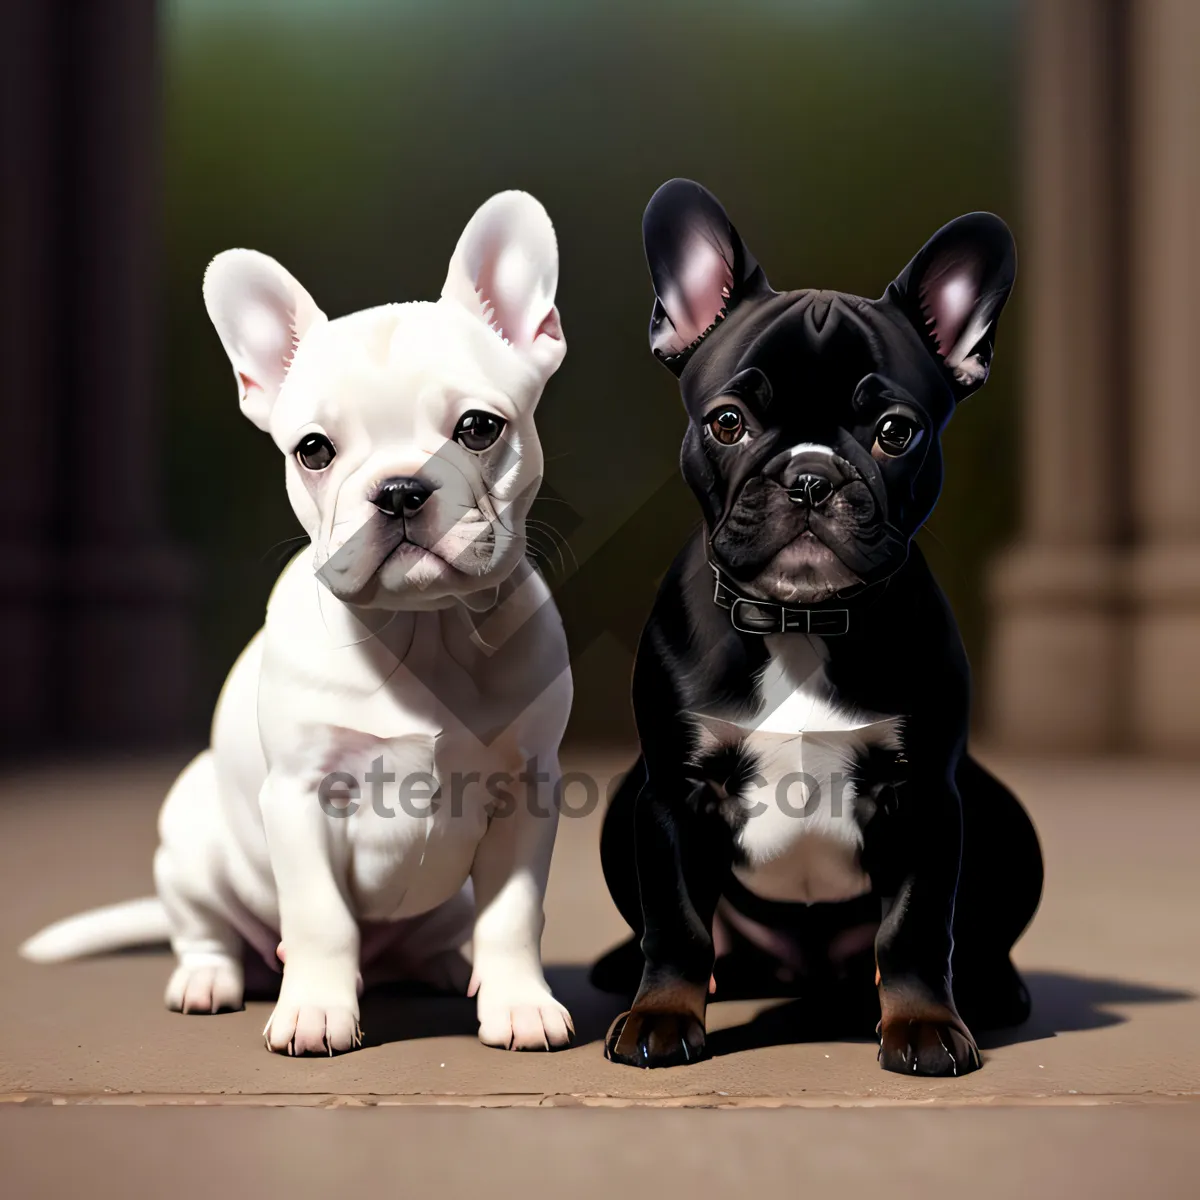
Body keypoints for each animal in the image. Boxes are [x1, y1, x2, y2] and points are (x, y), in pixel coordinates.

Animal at [21, 192, 576, 1056]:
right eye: (313, 450)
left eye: (480, 429)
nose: (400, 490)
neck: (423, 631)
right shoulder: (302, 796)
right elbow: (320, 918)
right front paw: (314, 1011)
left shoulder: (527, 793)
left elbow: (513, 914)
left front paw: (519, 1004)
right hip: (189, 842)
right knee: (207, 932)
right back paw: (209, 980)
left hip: (439, 905)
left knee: (444, 934)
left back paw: (450, 968)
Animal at [597, 180, 1041, 1080]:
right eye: (728, 422)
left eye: (895, 432)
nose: (809, 475)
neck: (800, 621)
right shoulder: (669, 798)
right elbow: (676, 922)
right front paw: (662, 1014)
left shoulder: (927, 797)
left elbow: (914, 928)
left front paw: (924, 1026)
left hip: (1004, 818)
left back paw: (992, 986)